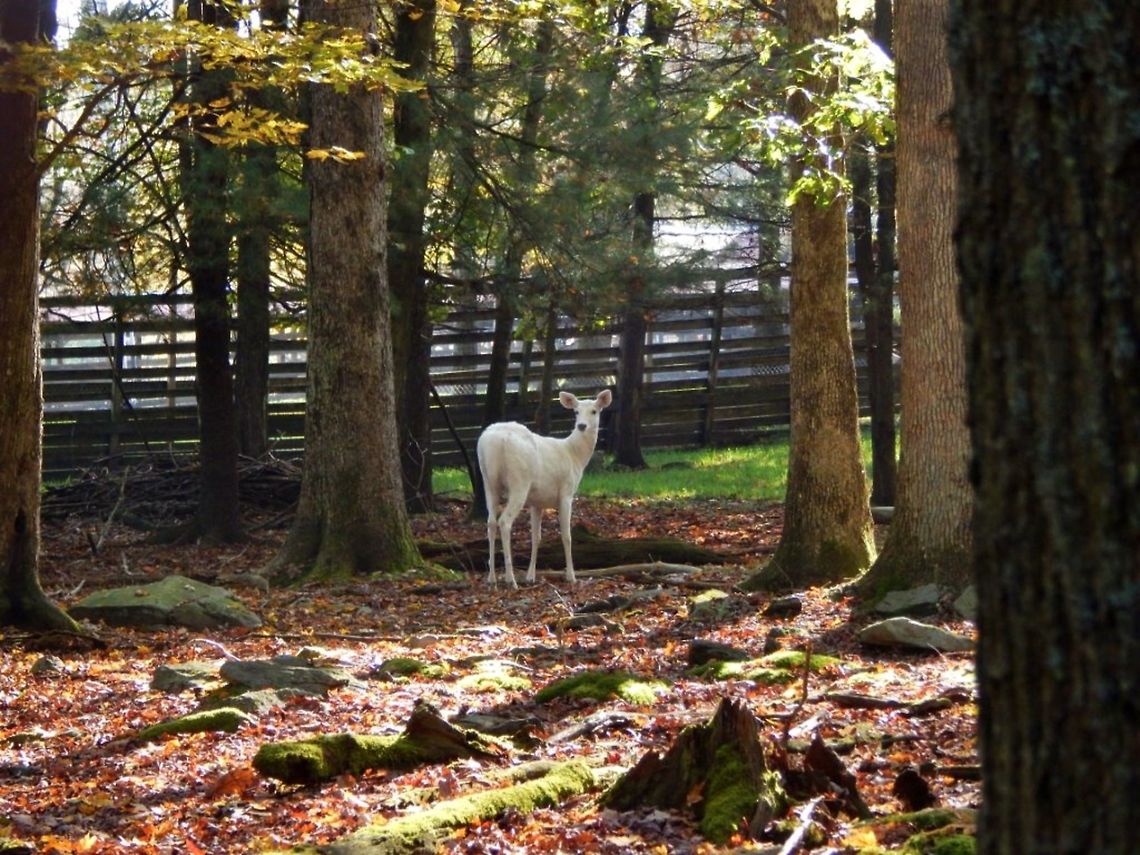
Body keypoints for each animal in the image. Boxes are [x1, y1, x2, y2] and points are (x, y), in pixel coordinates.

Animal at [476, 389, 613, 588]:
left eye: (594, 411)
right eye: (576, 411)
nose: (581, 425)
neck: (575, 456)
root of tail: (496, 441)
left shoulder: (537, 501)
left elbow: (536, 537)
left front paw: (530, 576)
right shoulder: (566, 492)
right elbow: (566, 535)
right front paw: (571, 576)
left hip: (488, 481)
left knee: (491, 522)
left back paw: (492, 578)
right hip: (519, 481)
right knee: (504, 522)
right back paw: (511, 580)